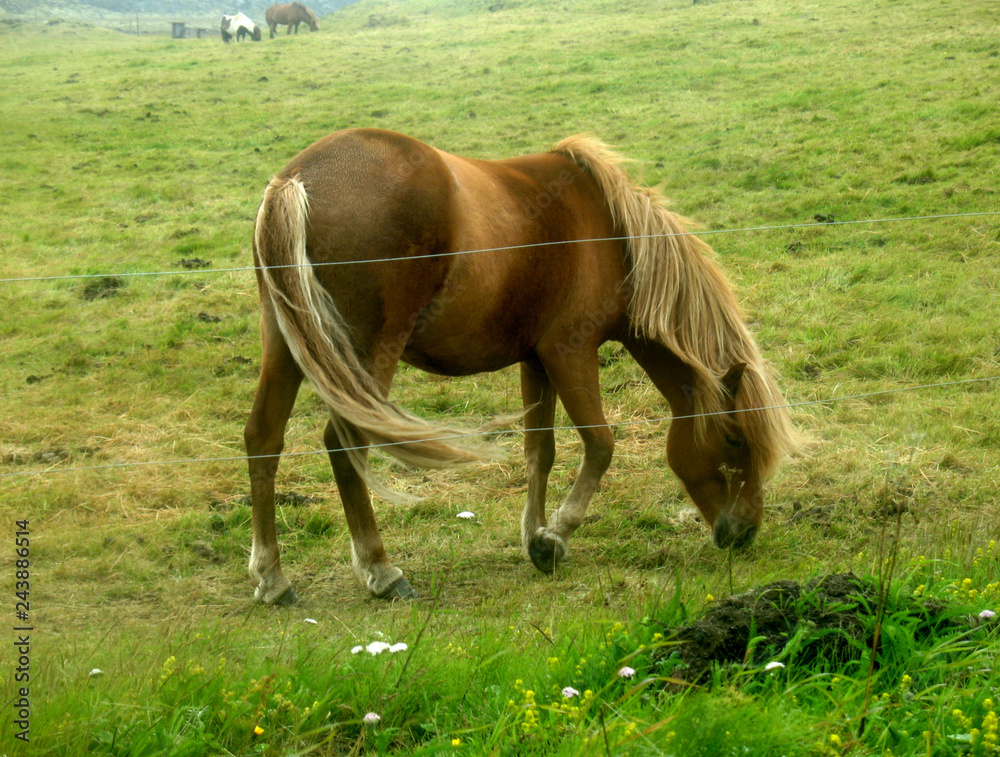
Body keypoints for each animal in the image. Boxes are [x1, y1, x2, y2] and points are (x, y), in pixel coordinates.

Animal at [246, 128, 798, 605]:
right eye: (734, 440)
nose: (745, 531)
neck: (614, 236)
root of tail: (297, 180)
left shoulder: (535, 363)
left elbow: (540, 451)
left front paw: (535, 534)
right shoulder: (570, 352)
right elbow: (600, 445)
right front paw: (556, 536)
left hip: (288, 343)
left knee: (263, 438)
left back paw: (272, 578)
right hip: (365, 356)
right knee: (344, 445)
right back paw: (381, 569)